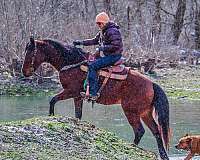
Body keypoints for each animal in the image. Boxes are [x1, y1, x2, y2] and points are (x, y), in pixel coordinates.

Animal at [22, 37, 171, 159]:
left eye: (30, 52)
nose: (24, 72)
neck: (71, 62)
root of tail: (152, 84)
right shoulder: (77, 96)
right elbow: (78, 115)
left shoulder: (71, 91)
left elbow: (52, 99)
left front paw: (51, 115)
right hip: (145, 113)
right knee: (156, 131)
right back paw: (163, 155)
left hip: (131, 111)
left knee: (139, 131)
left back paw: (132, 146)